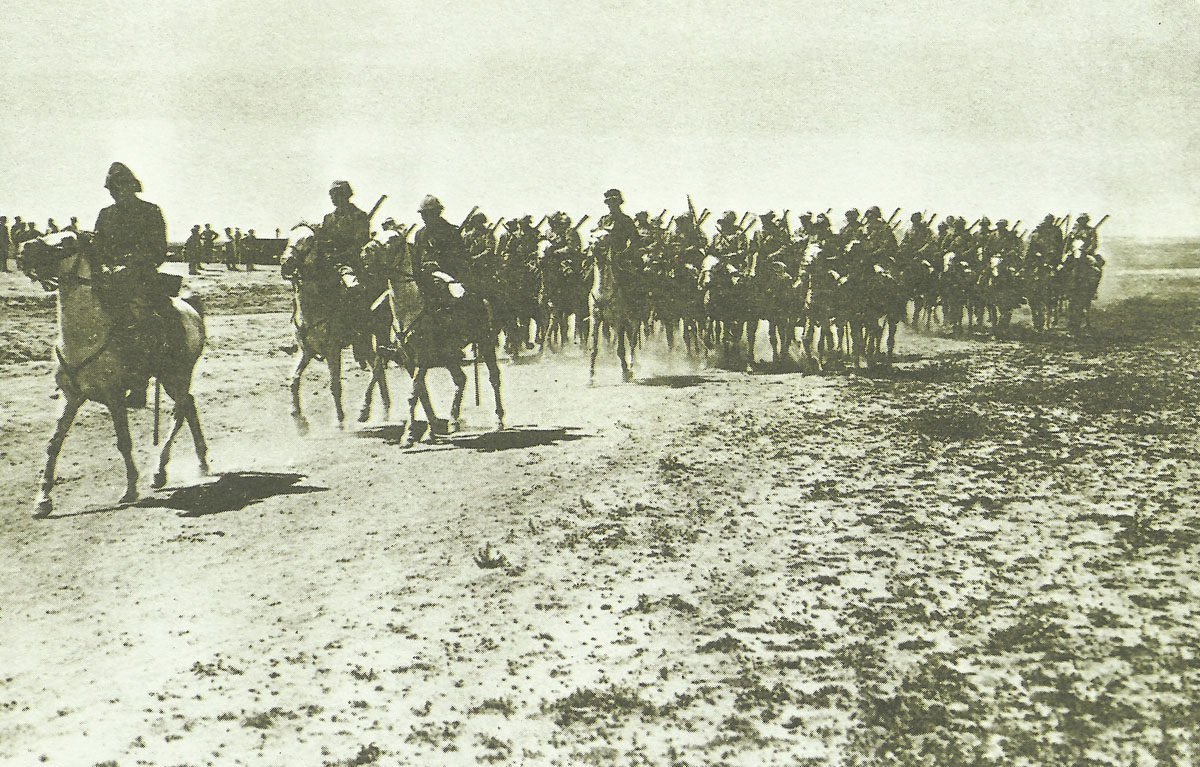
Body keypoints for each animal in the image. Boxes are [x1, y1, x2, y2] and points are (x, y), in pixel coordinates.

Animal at [18, 228, 208, 516]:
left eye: (67, 242)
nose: (24, 250)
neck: (85, 337)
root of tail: (191, 308)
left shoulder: (114, 395)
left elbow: (124, 441)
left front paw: (130, 489)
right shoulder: (71, 397)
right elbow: (53, 443)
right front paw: (43, 500)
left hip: (177, 375)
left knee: (180, 413)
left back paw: (161, 472)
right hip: (171, 380)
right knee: (189, 406)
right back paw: (197, 463)